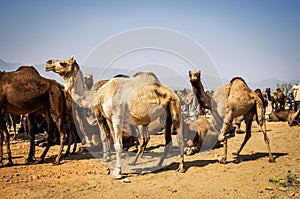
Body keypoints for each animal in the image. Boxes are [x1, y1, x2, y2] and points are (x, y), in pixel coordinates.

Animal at [44, 56, 185, 179]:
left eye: (63, 63)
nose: (48, 63)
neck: (100, 94)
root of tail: (172, 92)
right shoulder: (109, 118)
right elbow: (112, 138)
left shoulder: (117, 116)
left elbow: (118, 144)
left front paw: (117, 172)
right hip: (165, 116)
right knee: (166, 141)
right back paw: (158, 164)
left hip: (175, 107)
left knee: (179, 137)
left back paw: (181, 167)